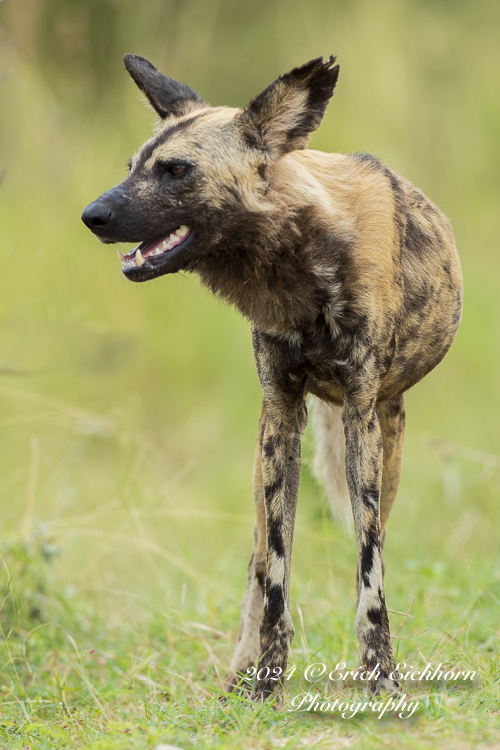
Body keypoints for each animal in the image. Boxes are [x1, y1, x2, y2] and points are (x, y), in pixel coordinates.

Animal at [81, 54, 460, 704]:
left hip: (386, 443)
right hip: (266, 458)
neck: (299, 269)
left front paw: (381, 676)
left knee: (370, 545)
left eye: (175, 170)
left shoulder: (360, 414)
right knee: (257, 564)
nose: (93, 216)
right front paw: (266, 685)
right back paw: (240, 671)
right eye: (131, 168)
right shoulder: (282, 414)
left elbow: (370, 573)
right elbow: (277, 574)